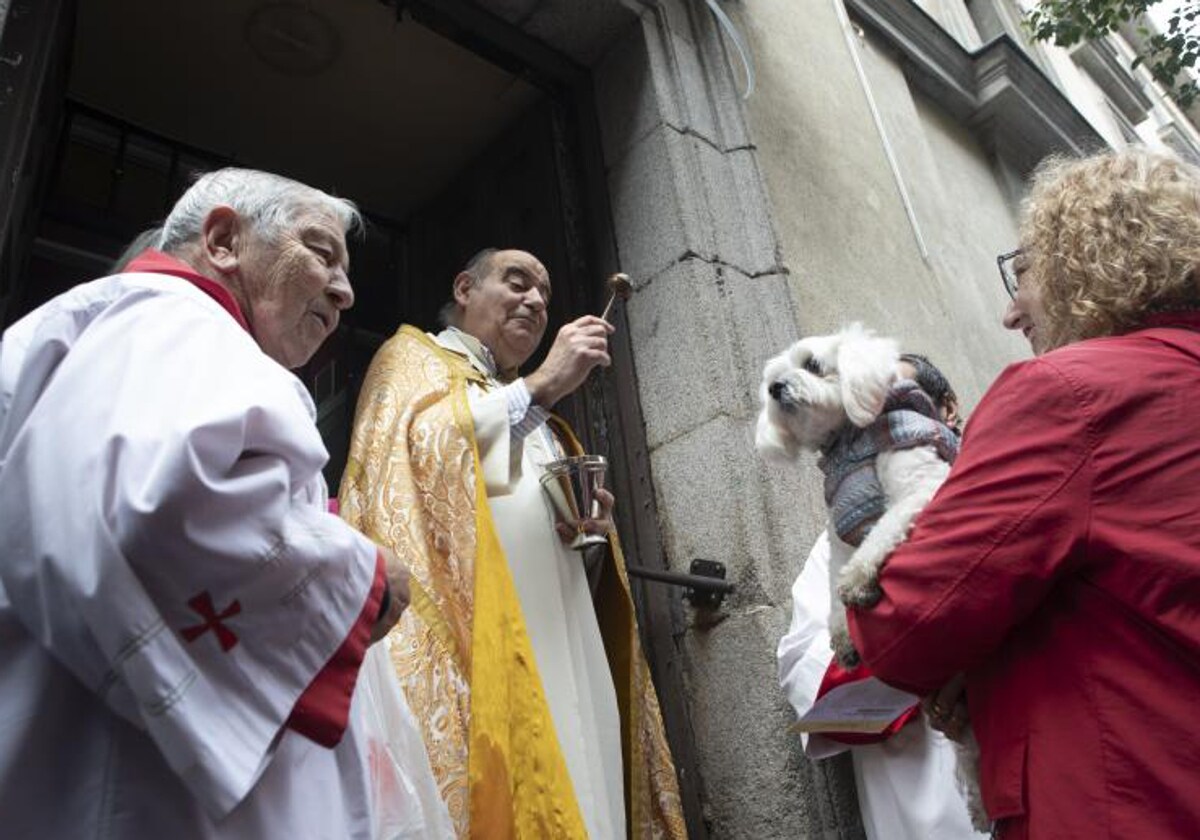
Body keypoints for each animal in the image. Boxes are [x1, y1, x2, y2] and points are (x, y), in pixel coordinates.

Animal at [758, 324, 984, 830]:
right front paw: (843, 635)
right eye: (773, 377)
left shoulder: (921, 489)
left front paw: (860, 579)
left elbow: (881, 532)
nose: (776, 388)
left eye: (812, 365)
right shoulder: (839, 532)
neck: (848, 445)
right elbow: (831, 587)